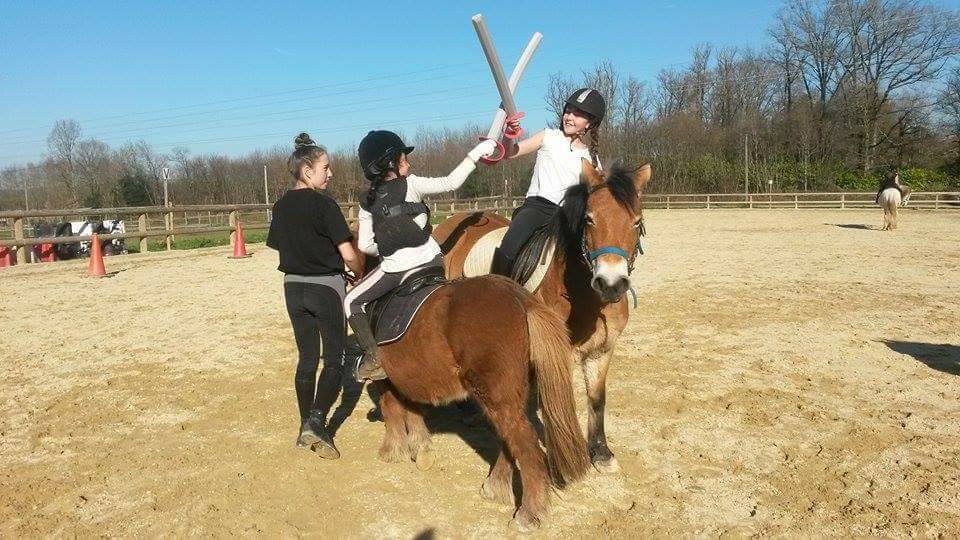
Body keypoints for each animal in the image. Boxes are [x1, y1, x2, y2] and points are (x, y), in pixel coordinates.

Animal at [372, 275, 590, 531]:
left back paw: (529, 513)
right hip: (509, 397)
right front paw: (420, 446)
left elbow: (391, 408)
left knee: (525, 443)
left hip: (493, 394)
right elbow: (411, 408)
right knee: (510, 437)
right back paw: (495, 487)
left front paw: (392, 449)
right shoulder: (412, 379)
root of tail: (522, 299)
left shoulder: (386, 378)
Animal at [433, 160, 651, 474]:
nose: (611, 284)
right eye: (589, 219)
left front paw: (601, 453)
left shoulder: (602, 350)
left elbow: (597, 399)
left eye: (636, 221)